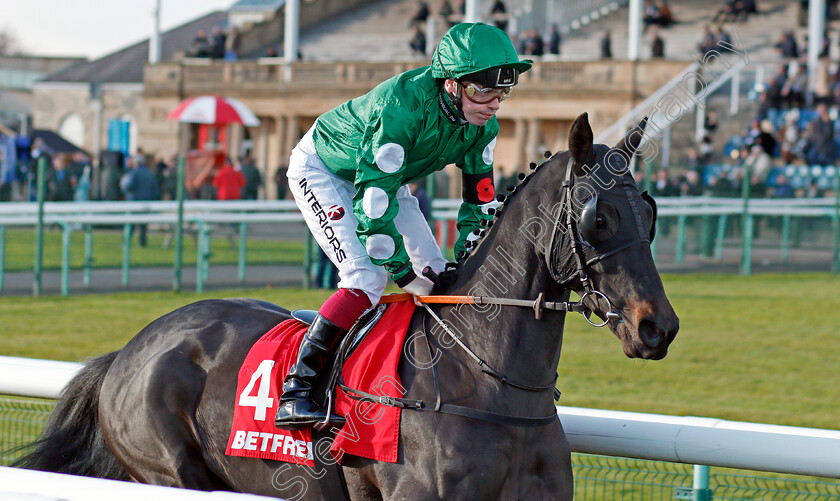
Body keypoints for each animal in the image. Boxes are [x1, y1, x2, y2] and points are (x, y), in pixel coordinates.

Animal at [16, 111, 680, 498]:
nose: (659, 328)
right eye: (598, 217)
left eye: (649, 213)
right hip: (168, 471)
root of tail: (129, 350)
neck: (487, 381)